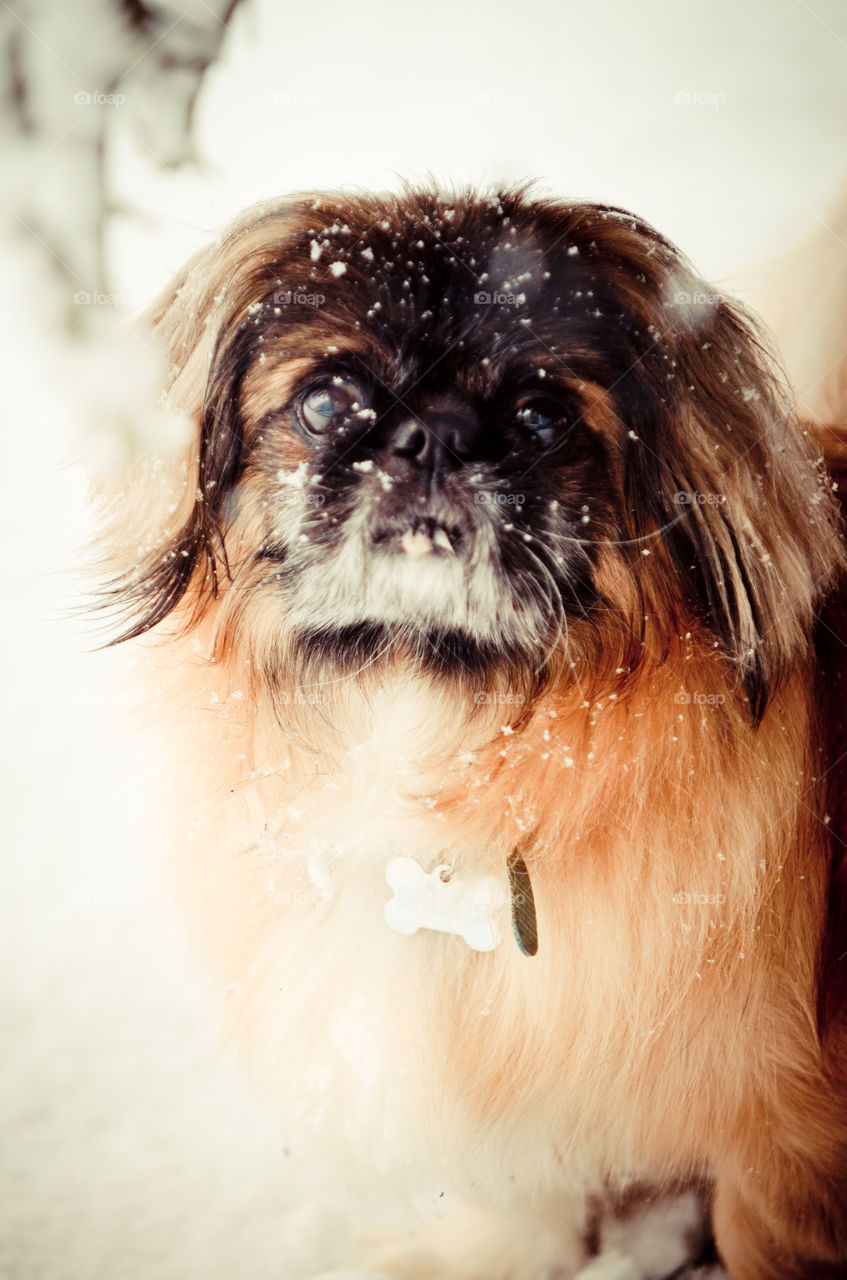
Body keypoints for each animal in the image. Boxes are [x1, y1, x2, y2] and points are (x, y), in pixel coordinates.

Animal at [101, 189, 847, 1280]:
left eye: (541, 415)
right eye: (326, 403)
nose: (434, 435)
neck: (437, 728)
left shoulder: (789, 1143)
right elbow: (524, 1185)